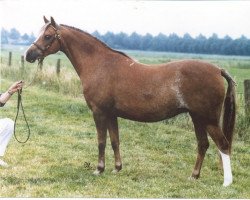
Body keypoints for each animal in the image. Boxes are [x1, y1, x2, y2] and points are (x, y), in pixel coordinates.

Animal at [25, 16, 236, 186]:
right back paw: (194, 176)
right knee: (203, 145)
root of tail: (218, 70)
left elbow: (101, 141)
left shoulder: (99, 112)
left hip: (208, 119)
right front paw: (117, 168)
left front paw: (99, 169)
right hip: (197, 117)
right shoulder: (111, 114)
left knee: (223, 145)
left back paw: (226, 182)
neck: (100, 64)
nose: (28, 55)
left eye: (48, 36)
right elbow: (114, 141)